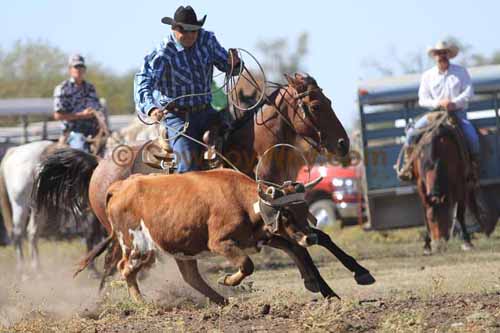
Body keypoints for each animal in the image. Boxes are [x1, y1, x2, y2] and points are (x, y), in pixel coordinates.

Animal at [34, 72, 372, 298]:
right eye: (315, 106)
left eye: (328, 100)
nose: (343, 143)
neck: (248, 153)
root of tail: (98, 164)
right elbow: (299, 245)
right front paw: (319, 284)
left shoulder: (282, 211)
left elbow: (317, 237)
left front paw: (356, 273)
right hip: (122, 232)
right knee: (115, 261)